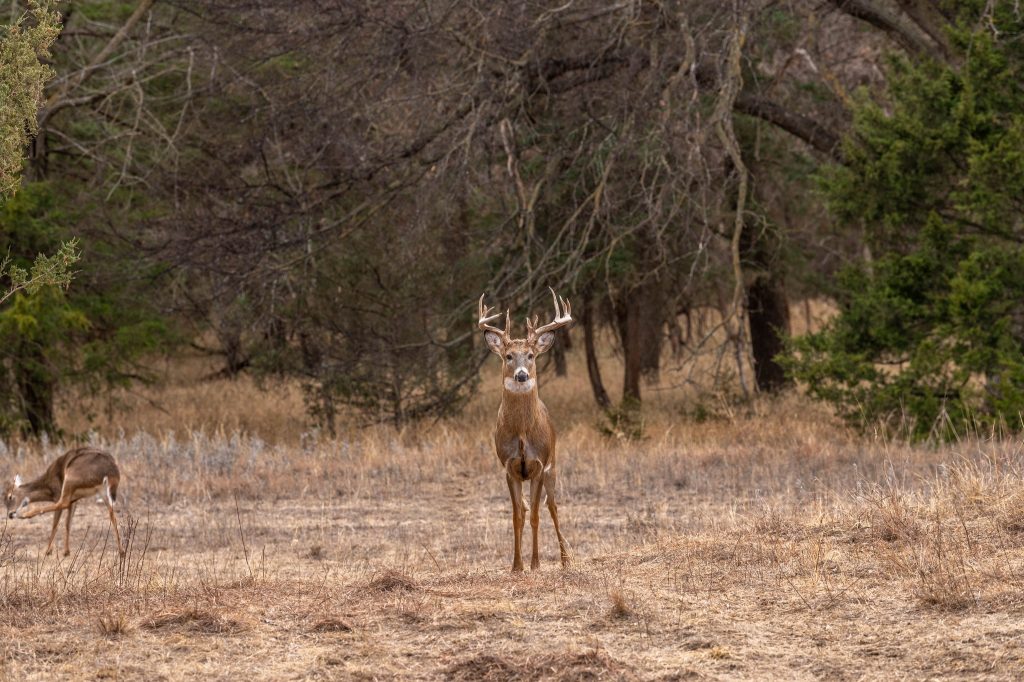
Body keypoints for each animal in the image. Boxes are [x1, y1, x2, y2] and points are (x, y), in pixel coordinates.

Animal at [478, 288, 573, 572]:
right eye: (508, 356)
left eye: (530, 356)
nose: (521, 375)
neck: (521, 434)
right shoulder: (509, 468)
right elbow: (517, 516)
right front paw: (516, 565)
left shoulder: (539, 465)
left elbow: (535, 515)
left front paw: (535, 563)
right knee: (526, 508)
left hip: (554, 467)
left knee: (552, 506)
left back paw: (565, 559)